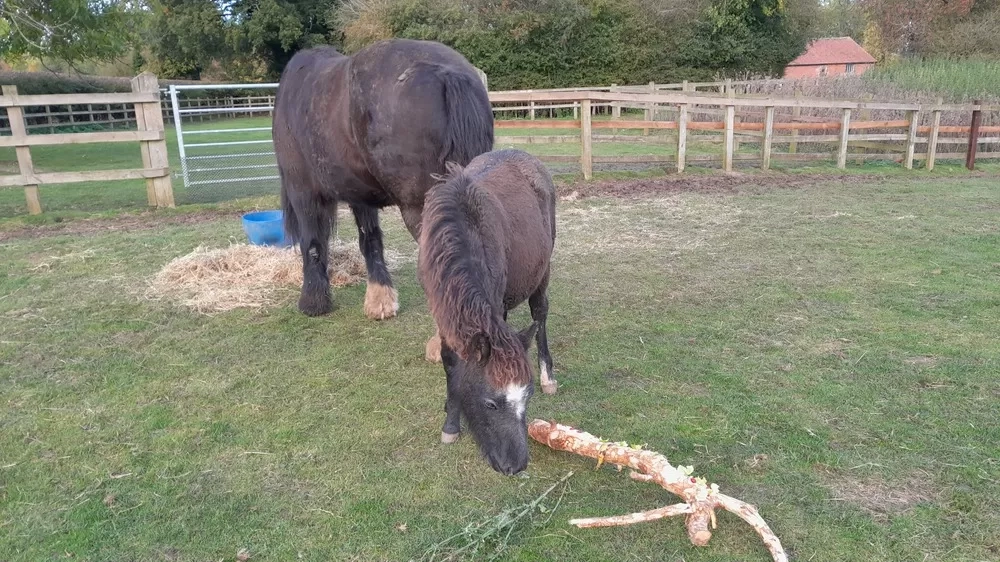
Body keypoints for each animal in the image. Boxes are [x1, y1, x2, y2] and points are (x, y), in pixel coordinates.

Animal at [273, 39, 494, 324]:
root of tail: (446, 73)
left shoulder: (303, 193)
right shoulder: (360, 195)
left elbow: (312, 242)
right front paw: (380, 301)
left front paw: (313, 302)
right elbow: (370, 239)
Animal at [417, 149, 557, 475]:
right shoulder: (444, 315)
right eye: (491, 404)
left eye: (527, 398)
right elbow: (451, 364)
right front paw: (451, 419)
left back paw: (548, 375)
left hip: (542, 272)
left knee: (540, 314)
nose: (516, 465)